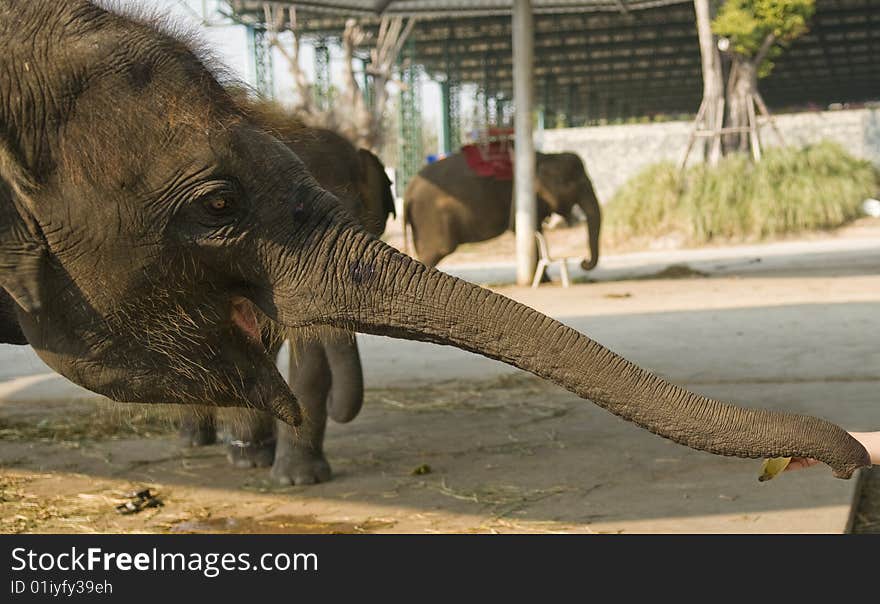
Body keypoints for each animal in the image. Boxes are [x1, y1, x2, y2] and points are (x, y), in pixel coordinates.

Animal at [404, 151, 600, 272]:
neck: (547, 156)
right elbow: (521, 228)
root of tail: (409, 189)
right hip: (430, 216)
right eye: (576, 184)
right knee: (437, 251)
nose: (583, 262)